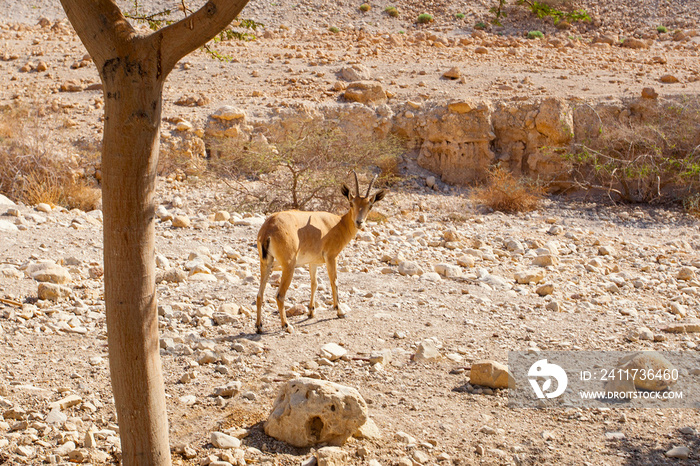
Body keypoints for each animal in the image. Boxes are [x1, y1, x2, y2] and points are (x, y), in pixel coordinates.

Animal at [258, 173, 386, 334]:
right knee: (280, 296)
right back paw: (287, 326)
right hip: (288, 266)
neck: (339, 224)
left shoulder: (313, 262)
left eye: (370, 205)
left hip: (265, 264)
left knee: (259, 294)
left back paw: (259, 327)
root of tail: (268, 229)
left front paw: (311, 312)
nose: (359, 222)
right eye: (351, 203)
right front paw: (340, 311)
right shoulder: (331, 257)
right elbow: (334, 281)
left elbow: (314, 283)